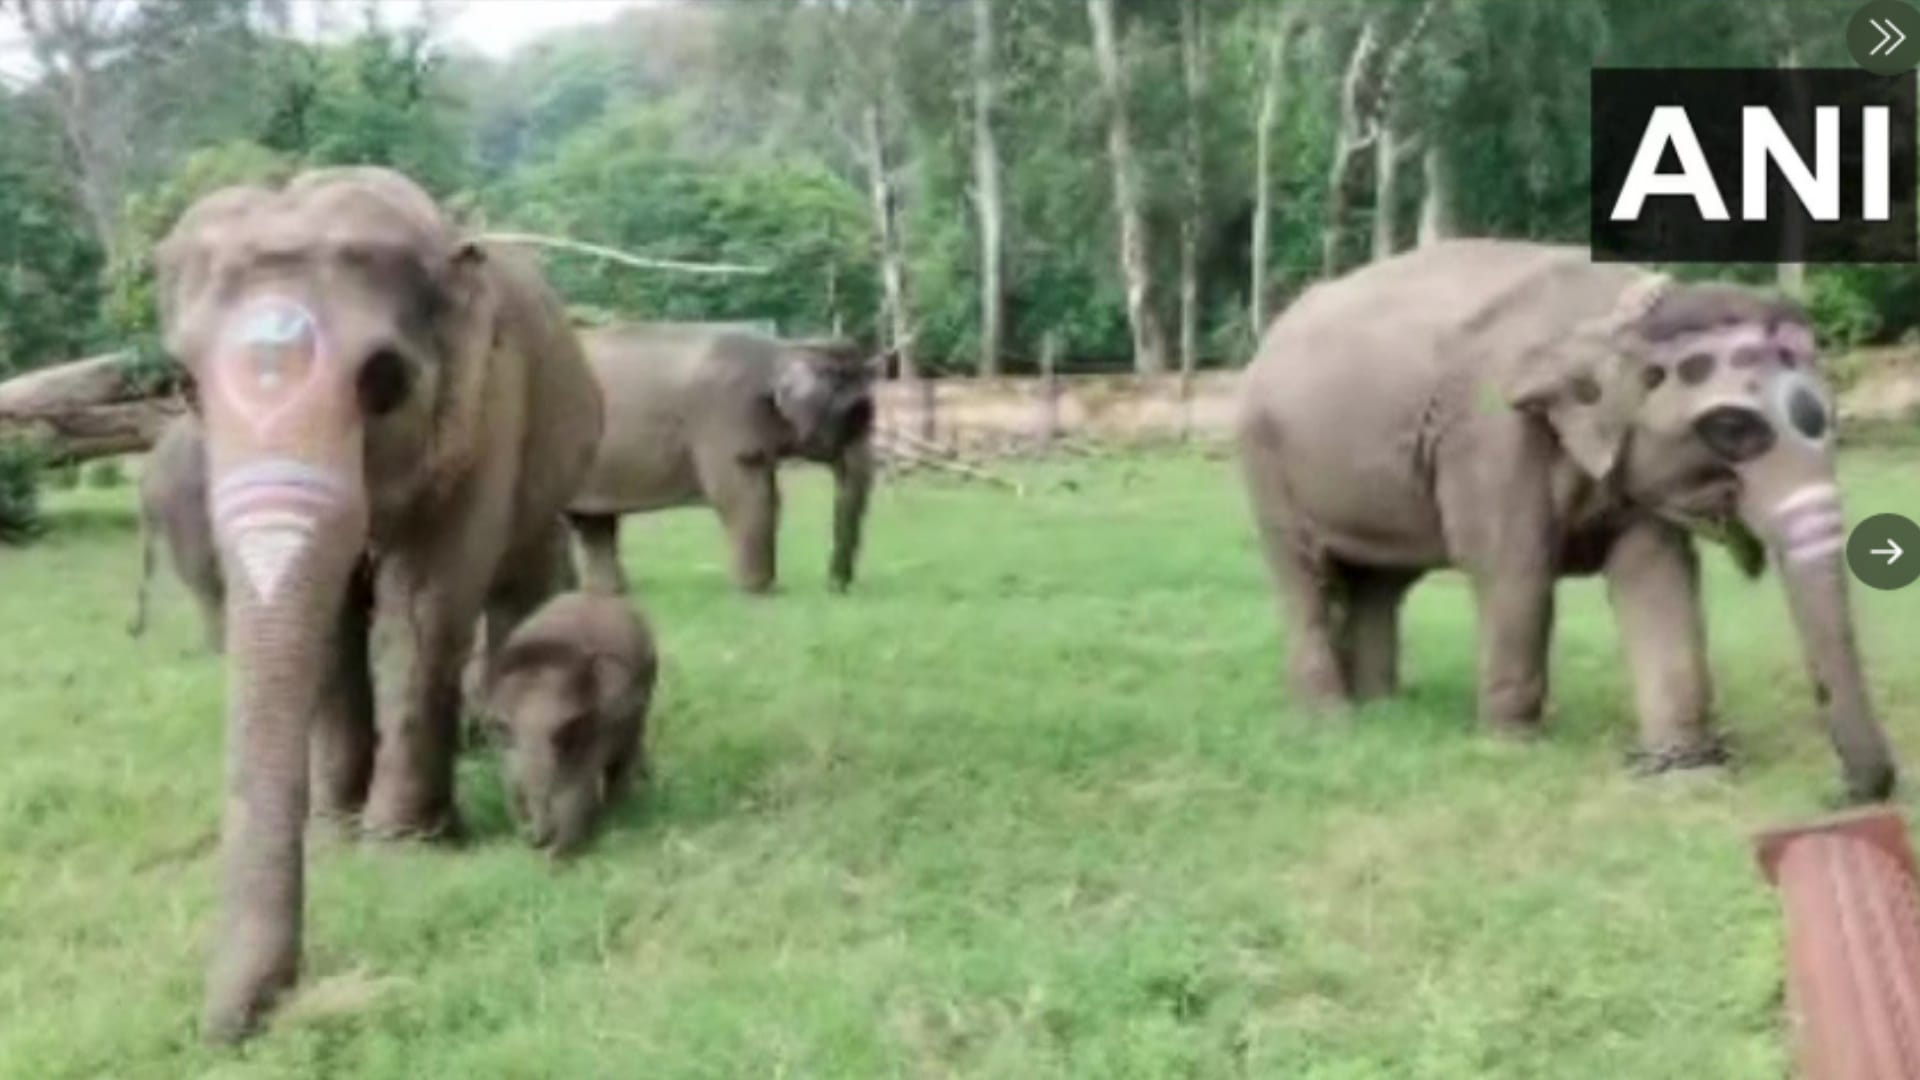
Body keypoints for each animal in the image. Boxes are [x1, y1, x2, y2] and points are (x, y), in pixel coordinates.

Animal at [154, 166, 604, 1040]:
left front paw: (398, 850)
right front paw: (334, 838)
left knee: (521, 585)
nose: (228, 1028)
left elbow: (422, 605)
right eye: (185, 386)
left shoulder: (489, 408)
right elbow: (333, 632)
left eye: (385, 381)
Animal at [486, 590, 656, 856]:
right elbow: (511, 774)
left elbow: (577, 785)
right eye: (504, 726)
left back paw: (617, 810)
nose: (537, 838)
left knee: (625, 753)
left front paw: (561, 851)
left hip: (644, 692)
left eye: (566, 728)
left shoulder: (601, 717)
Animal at [565, 325, 881, 595]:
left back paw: (603, 593)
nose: (835, 587)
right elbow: (747, 495)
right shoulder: (725, 416)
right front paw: (761, 591)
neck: (784, 349)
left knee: (593, 522)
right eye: (855, 413)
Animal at [1236, 239, 1897, 802]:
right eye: (1731, 427)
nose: (1842, 791)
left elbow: (1657, 576)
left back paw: (1384, 708)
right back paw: (1330, 721)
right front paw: (1508, 751)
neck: (1622, 311)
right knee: (1304, 578)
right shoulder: (1491, 433)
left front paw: (1684, 773)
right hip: (1265, 463)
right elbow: (1513, 570)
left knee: (1379, 584)